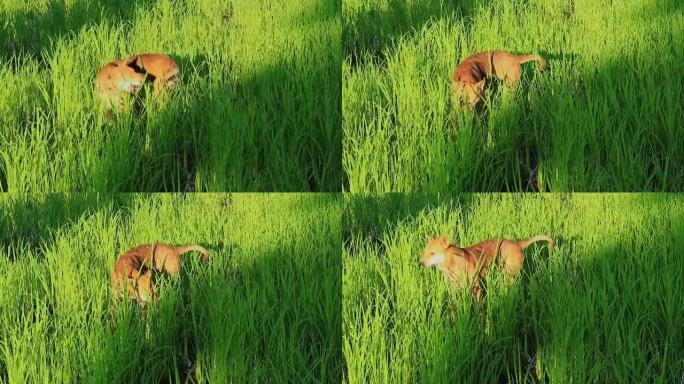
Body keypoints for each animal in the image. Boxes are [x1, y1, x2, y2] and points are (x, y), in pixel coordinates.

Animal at [420, 234, 552, 300]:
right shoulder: (454, 290)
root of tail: (517, 244)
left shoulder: (477, 288)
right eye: (424, 252)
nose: (420, 263)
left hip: (510, 276)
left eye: (432, 253)